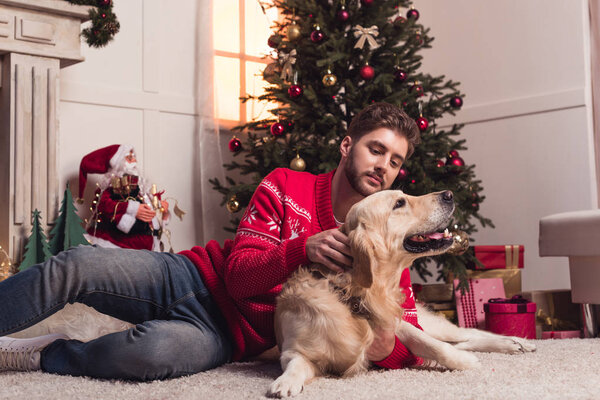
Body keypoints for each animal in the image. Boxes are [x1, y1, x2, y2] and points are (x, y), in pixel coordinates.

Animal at [268, 191, 536, 396]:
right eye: (399, 203)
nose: (450, 194)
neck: (353, 295)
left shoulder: (396, 323)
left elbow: (432, 345)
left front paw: (464, 361)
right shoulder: (294, 350)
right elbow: (295, 364)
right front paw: (285, 382)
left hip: (434, 324)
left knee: (467, 334)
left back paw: (517, 342)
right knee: (465, 339)